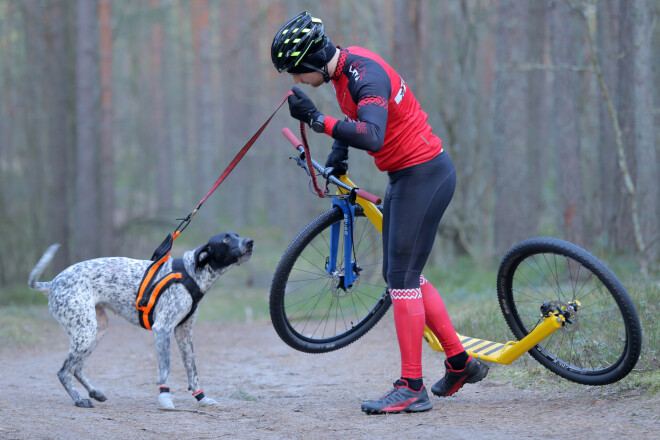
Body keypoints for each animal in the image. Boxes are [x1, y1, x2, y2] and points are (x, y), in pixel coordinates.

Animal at [27, 234, 253, 410]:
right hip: (86, 332)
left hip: (96, 330)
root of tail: (53, 283)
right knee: (64, 372)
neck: (190, 274)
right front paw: (165, 399)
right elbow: (165, 371)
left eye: (237, 235)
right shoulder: (162, 329)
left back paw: (94, 393)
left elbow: (193, 372)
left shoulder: (184, 334)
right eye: (226, 239)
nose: (250, 242)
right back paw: (79, 400)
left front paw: (202, 399)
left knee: (76, 368)